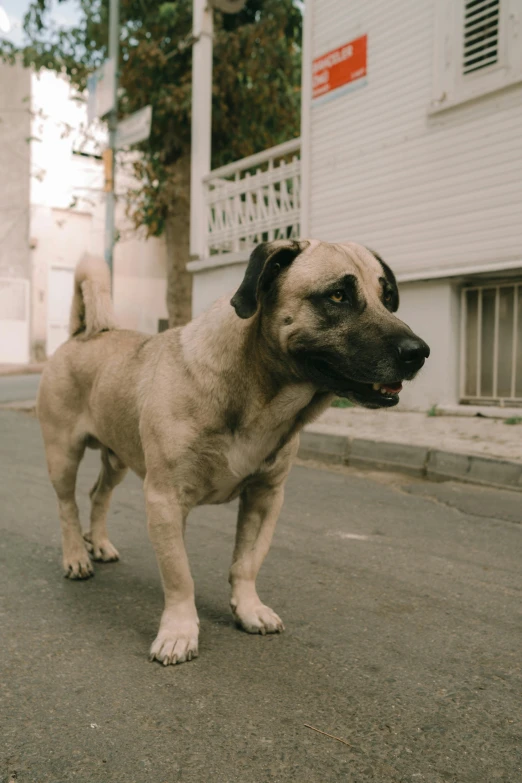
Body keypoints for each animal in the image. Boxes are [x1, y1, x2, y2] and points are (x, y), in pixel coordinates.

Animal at [35, 236, 426, 664]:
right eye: (338, 295)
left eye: (387, 298)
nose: (418, 352)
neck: (258, 391)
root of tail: (81, 335)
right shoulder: (166, 500)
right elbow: (179, 575)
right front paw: (179, 631)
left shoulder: (265, 496)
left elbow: (247, 562)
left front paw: (248, 609)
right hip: (62, 455)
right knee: (67, 506)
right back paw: (77, 555)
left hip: (117, 458)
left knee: (98, 495)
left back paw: (100, 543)